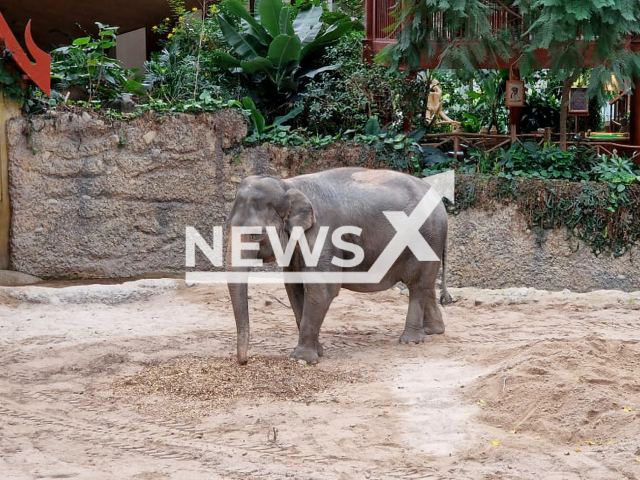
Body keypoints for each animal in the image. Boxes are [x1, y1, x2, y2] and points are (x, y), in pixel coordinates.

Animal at [228, 167, 452, 366]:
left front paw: (301, 360)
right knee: (426, 285)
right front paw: (317, 352)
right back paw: (433, 331)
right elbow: (294, 287)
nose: (244, 361)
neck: (288, 184)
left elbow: (321, 289)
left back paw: (410, 340)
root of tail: (438, 200)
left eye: (256, 235)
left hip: (427, 239)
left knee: (417, 285)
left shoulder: (323, 236)